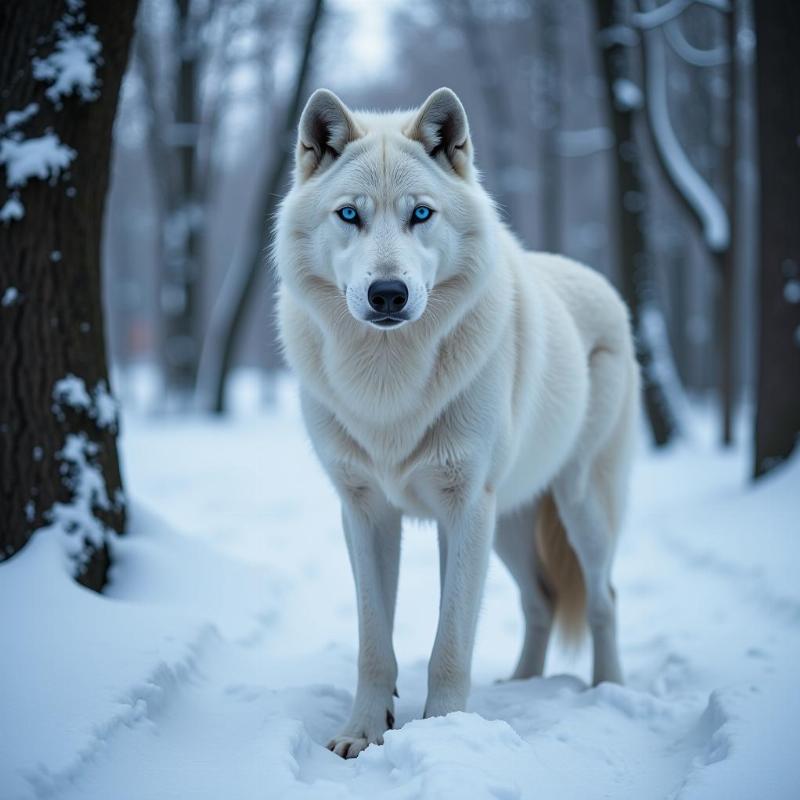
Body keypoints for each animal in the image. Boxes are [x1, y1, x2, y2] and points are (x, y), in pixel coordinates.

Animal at [274, 86, 636, 756]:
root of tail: (603, 284)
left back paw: (610, 691)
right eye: (349, 215)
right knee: (542, 599)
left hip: (577, 507)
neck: (388, 383)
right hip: (513, 523)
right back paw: (522, 684)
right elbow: (373, 642)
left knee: (604, 598)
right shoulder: (364, 510)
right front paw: (362, 732)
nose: (388, 294)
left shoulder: (464, 508)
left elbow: (451, 643)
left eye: (421, 214)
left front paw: (442, 734)